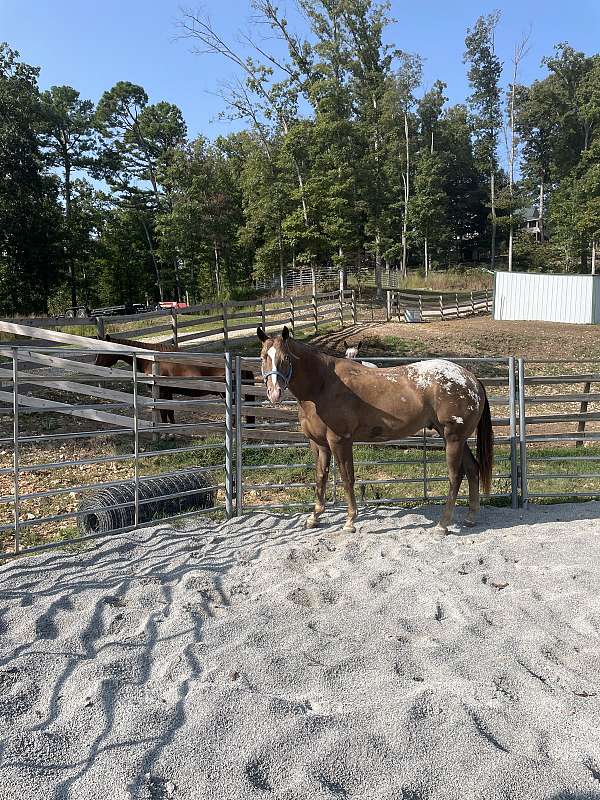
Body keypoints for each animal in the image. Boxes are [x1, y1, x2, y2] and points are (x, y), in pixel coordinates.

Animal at [94, 334, 255, 424]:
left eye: (103, 351)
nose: (95, 365)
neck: (151, 360)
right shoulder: (168, 393)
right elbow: (170, 412)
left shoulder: (161, 393)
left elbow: (164, 412)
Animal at [258, 324, 492, 532]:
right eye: (263, 357)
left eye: (286, 358)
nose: (275, 393)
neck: (323, 385)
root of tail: (471, 379)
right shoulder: (319, 444)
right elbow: (320, 477)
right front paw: (314, 517)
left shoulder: (340, 440)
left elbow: (347, 478)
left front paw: (350, 521)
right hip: (455, 438)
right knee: (472, 469)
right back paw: (470, 518)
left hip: (453, 439)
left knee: (455, 476)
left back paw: (443, 525)